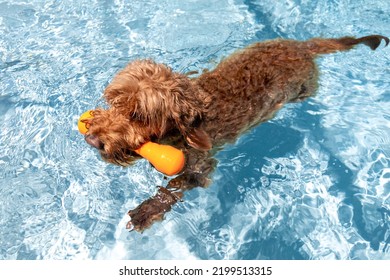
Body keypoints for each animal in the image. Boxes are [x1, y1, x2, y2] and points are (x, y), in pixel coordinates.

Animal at [84, 35, 388, 232]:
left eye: (138, 116)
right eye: (113, 101)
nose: (92, 139)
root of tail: (302, 47)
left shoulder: (200, 165)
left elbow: (174, 188)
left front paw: (147, 211)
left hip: (305, 88)